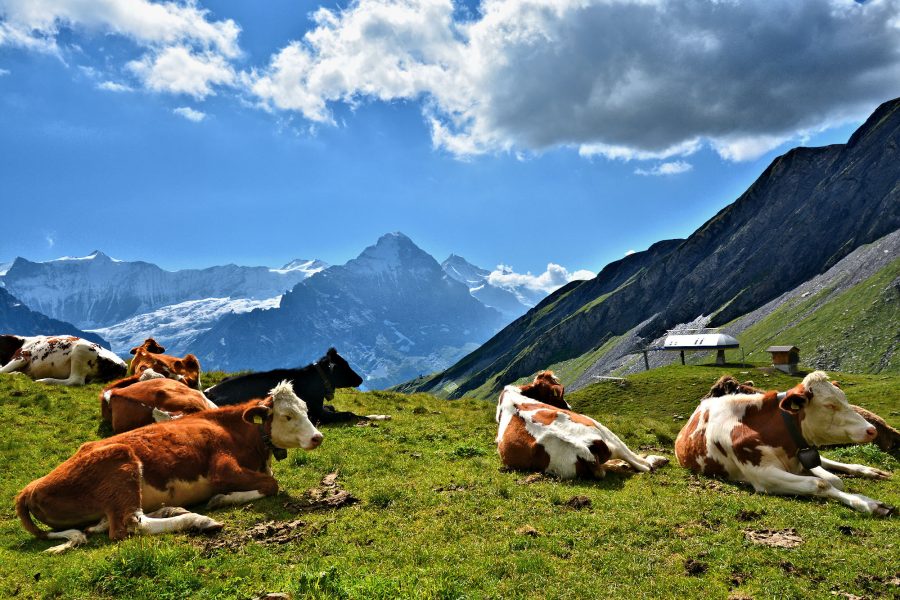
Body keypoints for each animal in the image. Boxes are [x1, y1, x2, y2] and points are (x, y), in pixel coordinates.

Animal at [16, 381, 322, 553]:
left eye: (306, 410)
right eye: (287, 415)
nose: (317, 437)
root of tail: (29, 489)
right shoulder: (221, 469)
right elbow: (271, 484)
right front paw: (221, 499)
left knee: (105, 524)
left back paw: (171, 509)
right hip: (121, 462)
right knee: (129, 525)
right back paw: (197, 520)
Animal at [205, 347, 368, 425]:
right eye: (345, 366)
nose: (360, 379)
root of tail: (208, 392)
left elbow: (333, 407)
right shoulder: (317, 413)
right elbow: (347, 414)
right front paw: (363, 417)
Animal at [675, 371, 895, 516]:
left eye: (845, 400)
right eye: (830, 405)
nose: (871, 429)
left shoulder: (800, 458)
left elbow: (834, 479)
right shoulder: (762, 475)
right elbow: (821, 483)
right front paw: (868, 503)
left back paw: (871, 471)